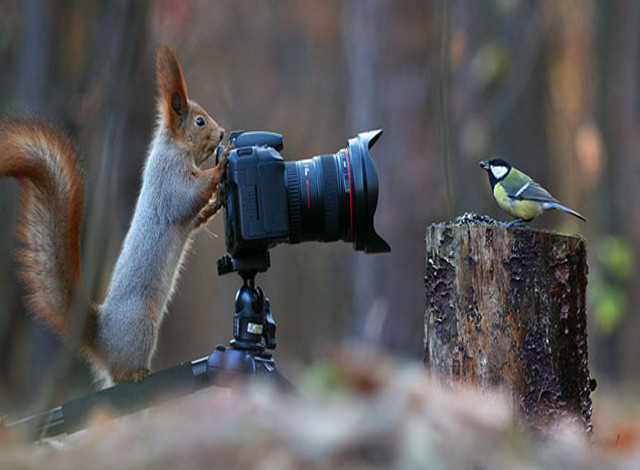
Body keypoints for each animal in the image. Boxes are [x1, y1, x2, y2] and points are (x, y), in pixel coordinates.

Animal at [0, 46, 230, 388]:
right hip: (142, 329)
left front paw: (215, 204)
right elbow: (185, 197)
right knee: (122, 373)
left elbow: (194, 216)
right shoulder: (168, 179)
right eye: (200, 122)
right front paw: (222, 164)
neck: (174, 147)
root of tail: (102, 341)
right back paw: (136, 373)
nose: (223, 133)